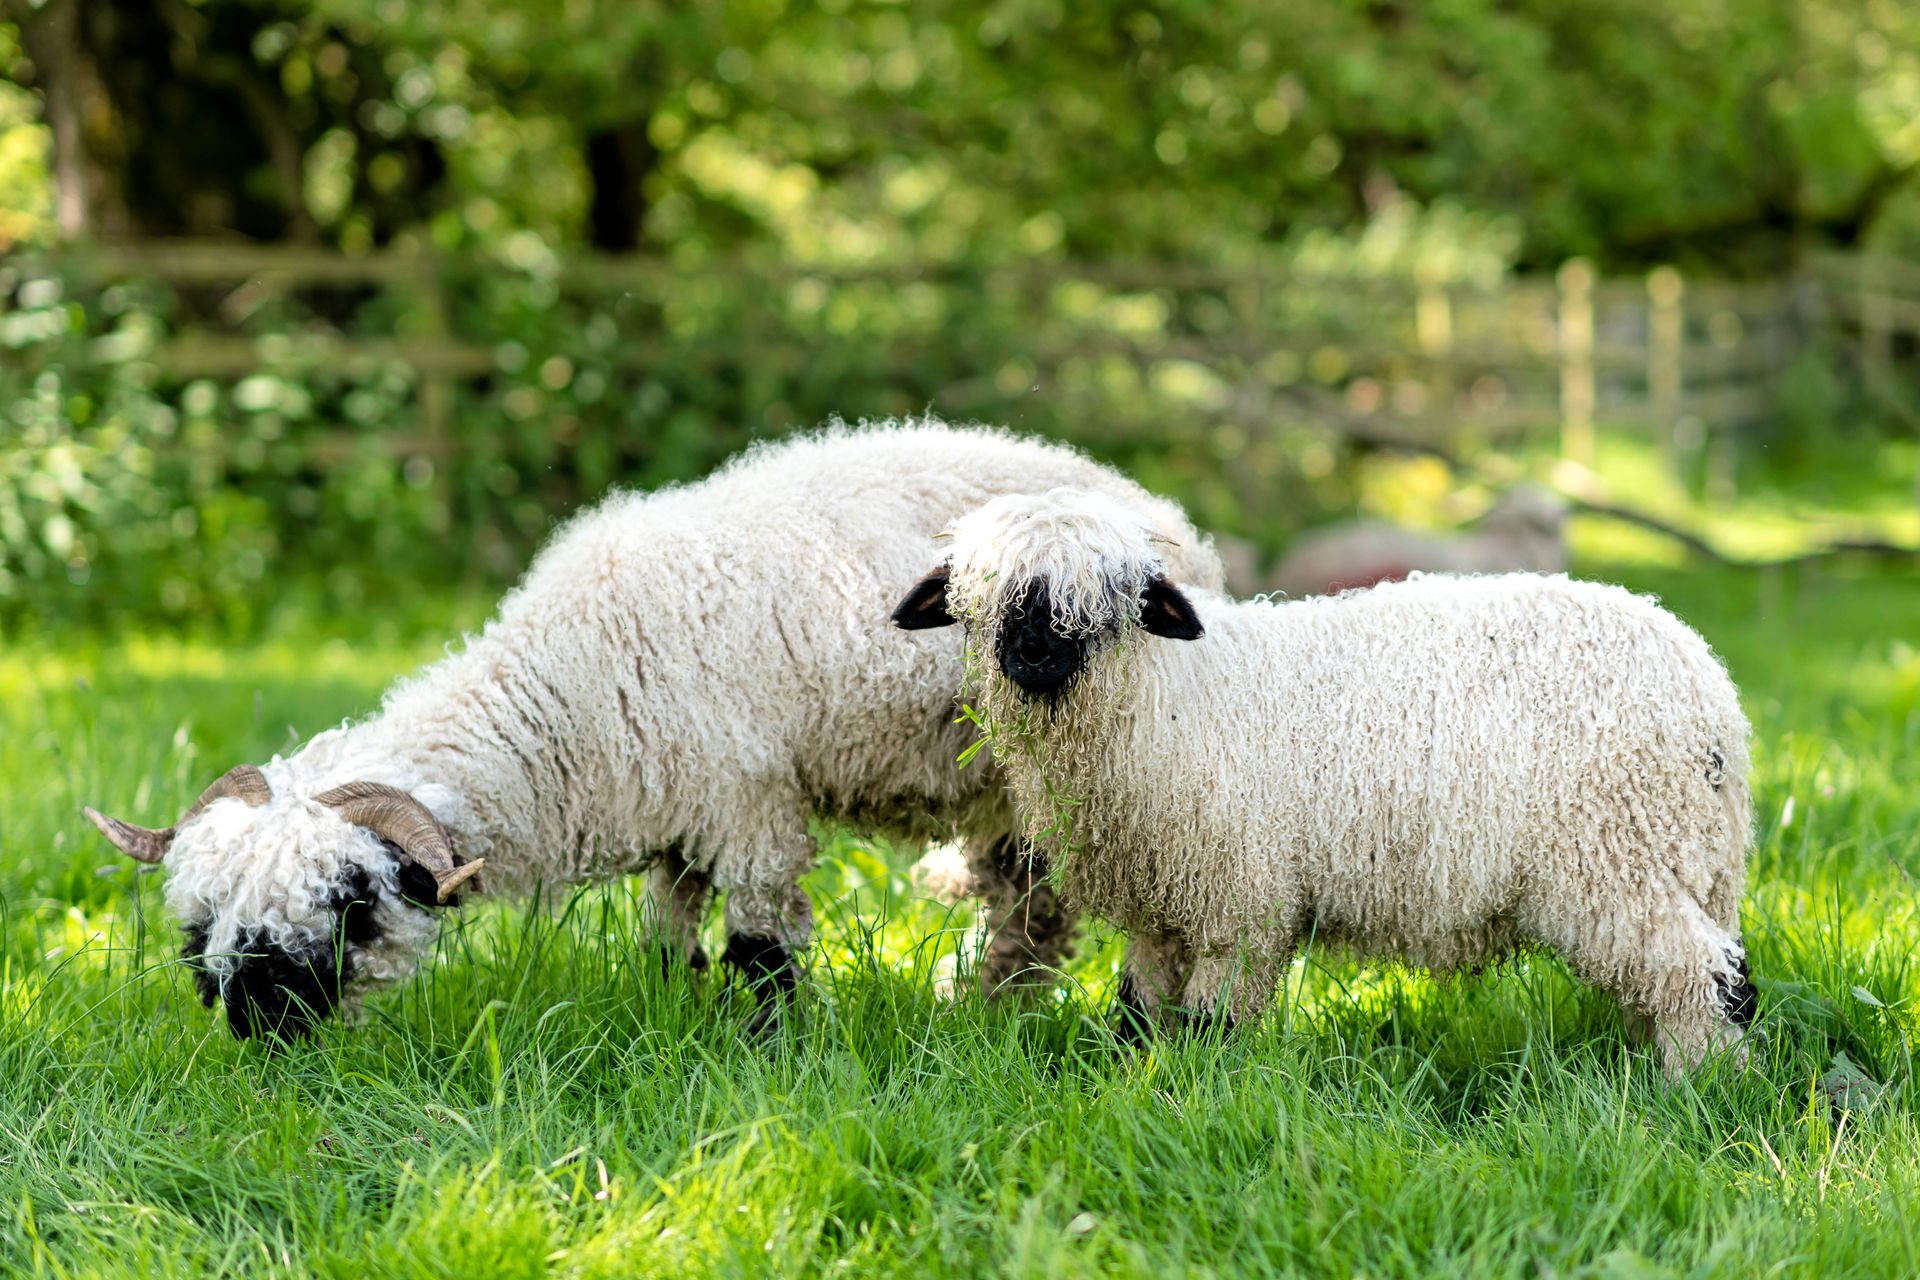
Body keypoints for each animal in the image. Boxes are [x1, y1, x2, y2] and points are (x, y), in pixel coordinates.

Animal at [84, 423, 1225, 1039]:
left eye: (352, 903)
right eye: (200, 921)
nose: (257, 1024)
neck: (569, 691)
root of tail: (1164, 516)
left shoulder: (748, 805)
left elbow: (762, 949)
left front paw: (771, 1049)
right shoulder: (677, 819)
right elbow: (669, 939)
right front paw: (681, 1010)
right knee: (1029, 906)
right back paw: (992, 1012)